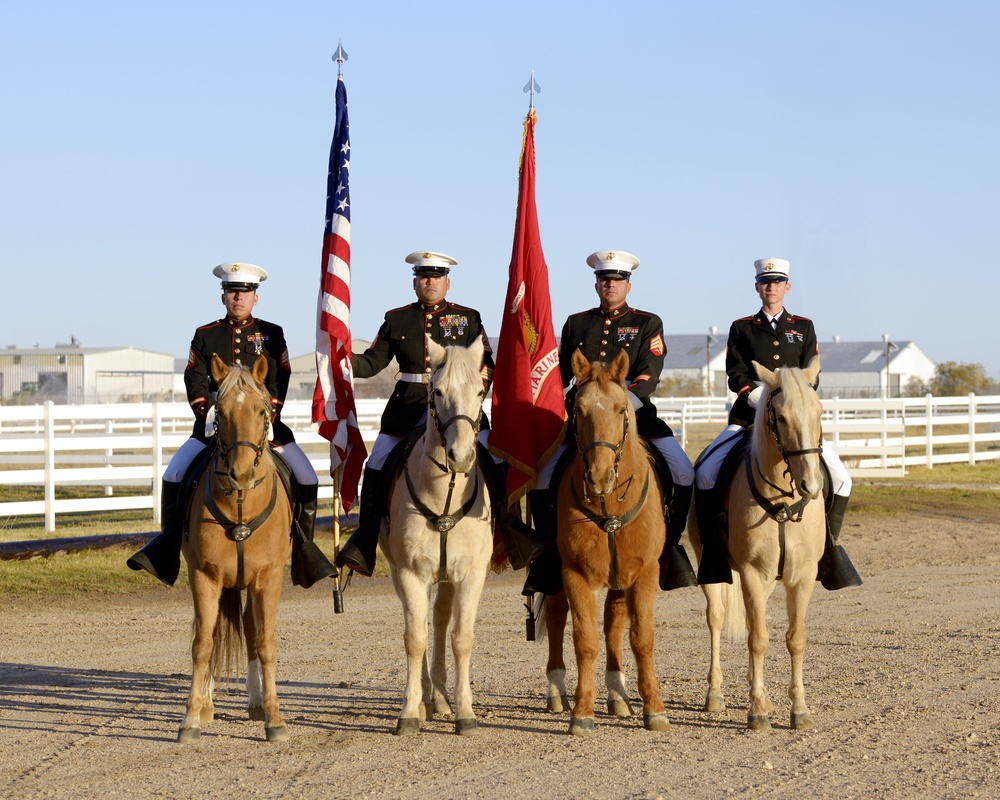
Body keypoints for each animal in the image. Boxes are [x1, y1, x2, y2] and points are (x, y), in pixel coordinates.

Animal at [178, 356, 292, 744]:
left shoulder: (269, 579)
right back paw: (207, 704)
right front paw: (191, 718)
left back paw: (257, 702)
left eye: (261, 410)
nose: (241, 474)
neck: (241, 507)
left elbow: (266, 643)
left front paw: (275, 718)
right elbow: (203, 644)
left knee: (251, 629)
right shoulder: (204, 577)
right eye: (220, 411)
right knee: (213, 632)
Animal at [378, 334, 492, 736]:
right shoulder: (411, 573)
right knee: (423, 625)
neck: (444, 495)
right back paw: (427, 699)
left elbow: (462, 638)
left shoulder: (471, 575)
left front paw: (465, 712)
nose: (459, 455)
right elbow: (414, 639)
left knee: (440, 622)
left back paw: (441, 697)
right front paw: (409, 712)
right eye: (438, 392)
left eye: (480, 391)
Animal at [548, 350, 672, 736]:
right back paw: (556, 691)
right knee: (556, 616)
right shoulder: (573, 573)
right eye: (579, 409)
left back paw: (618, 694)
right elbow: (584, 640)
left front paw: (655, 709)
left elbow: (641, 638)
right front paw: (581, 711)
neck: (609, 507)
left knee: (614, 624)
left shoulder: (644, 573)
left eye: (621, 409)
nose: (599, 476)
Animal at [692, 356, 824, 732]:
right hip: (714, 568)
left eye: (819, 412)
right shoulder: (752, 572)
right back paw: (716, 694)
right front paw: (758, 712)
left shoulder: (802, 576)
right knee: (717, 618)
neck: (783, 501)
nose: (811, 485)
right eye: (780, 417)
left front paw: (798, 710)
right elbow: (759, 639)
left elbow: (795, 639)